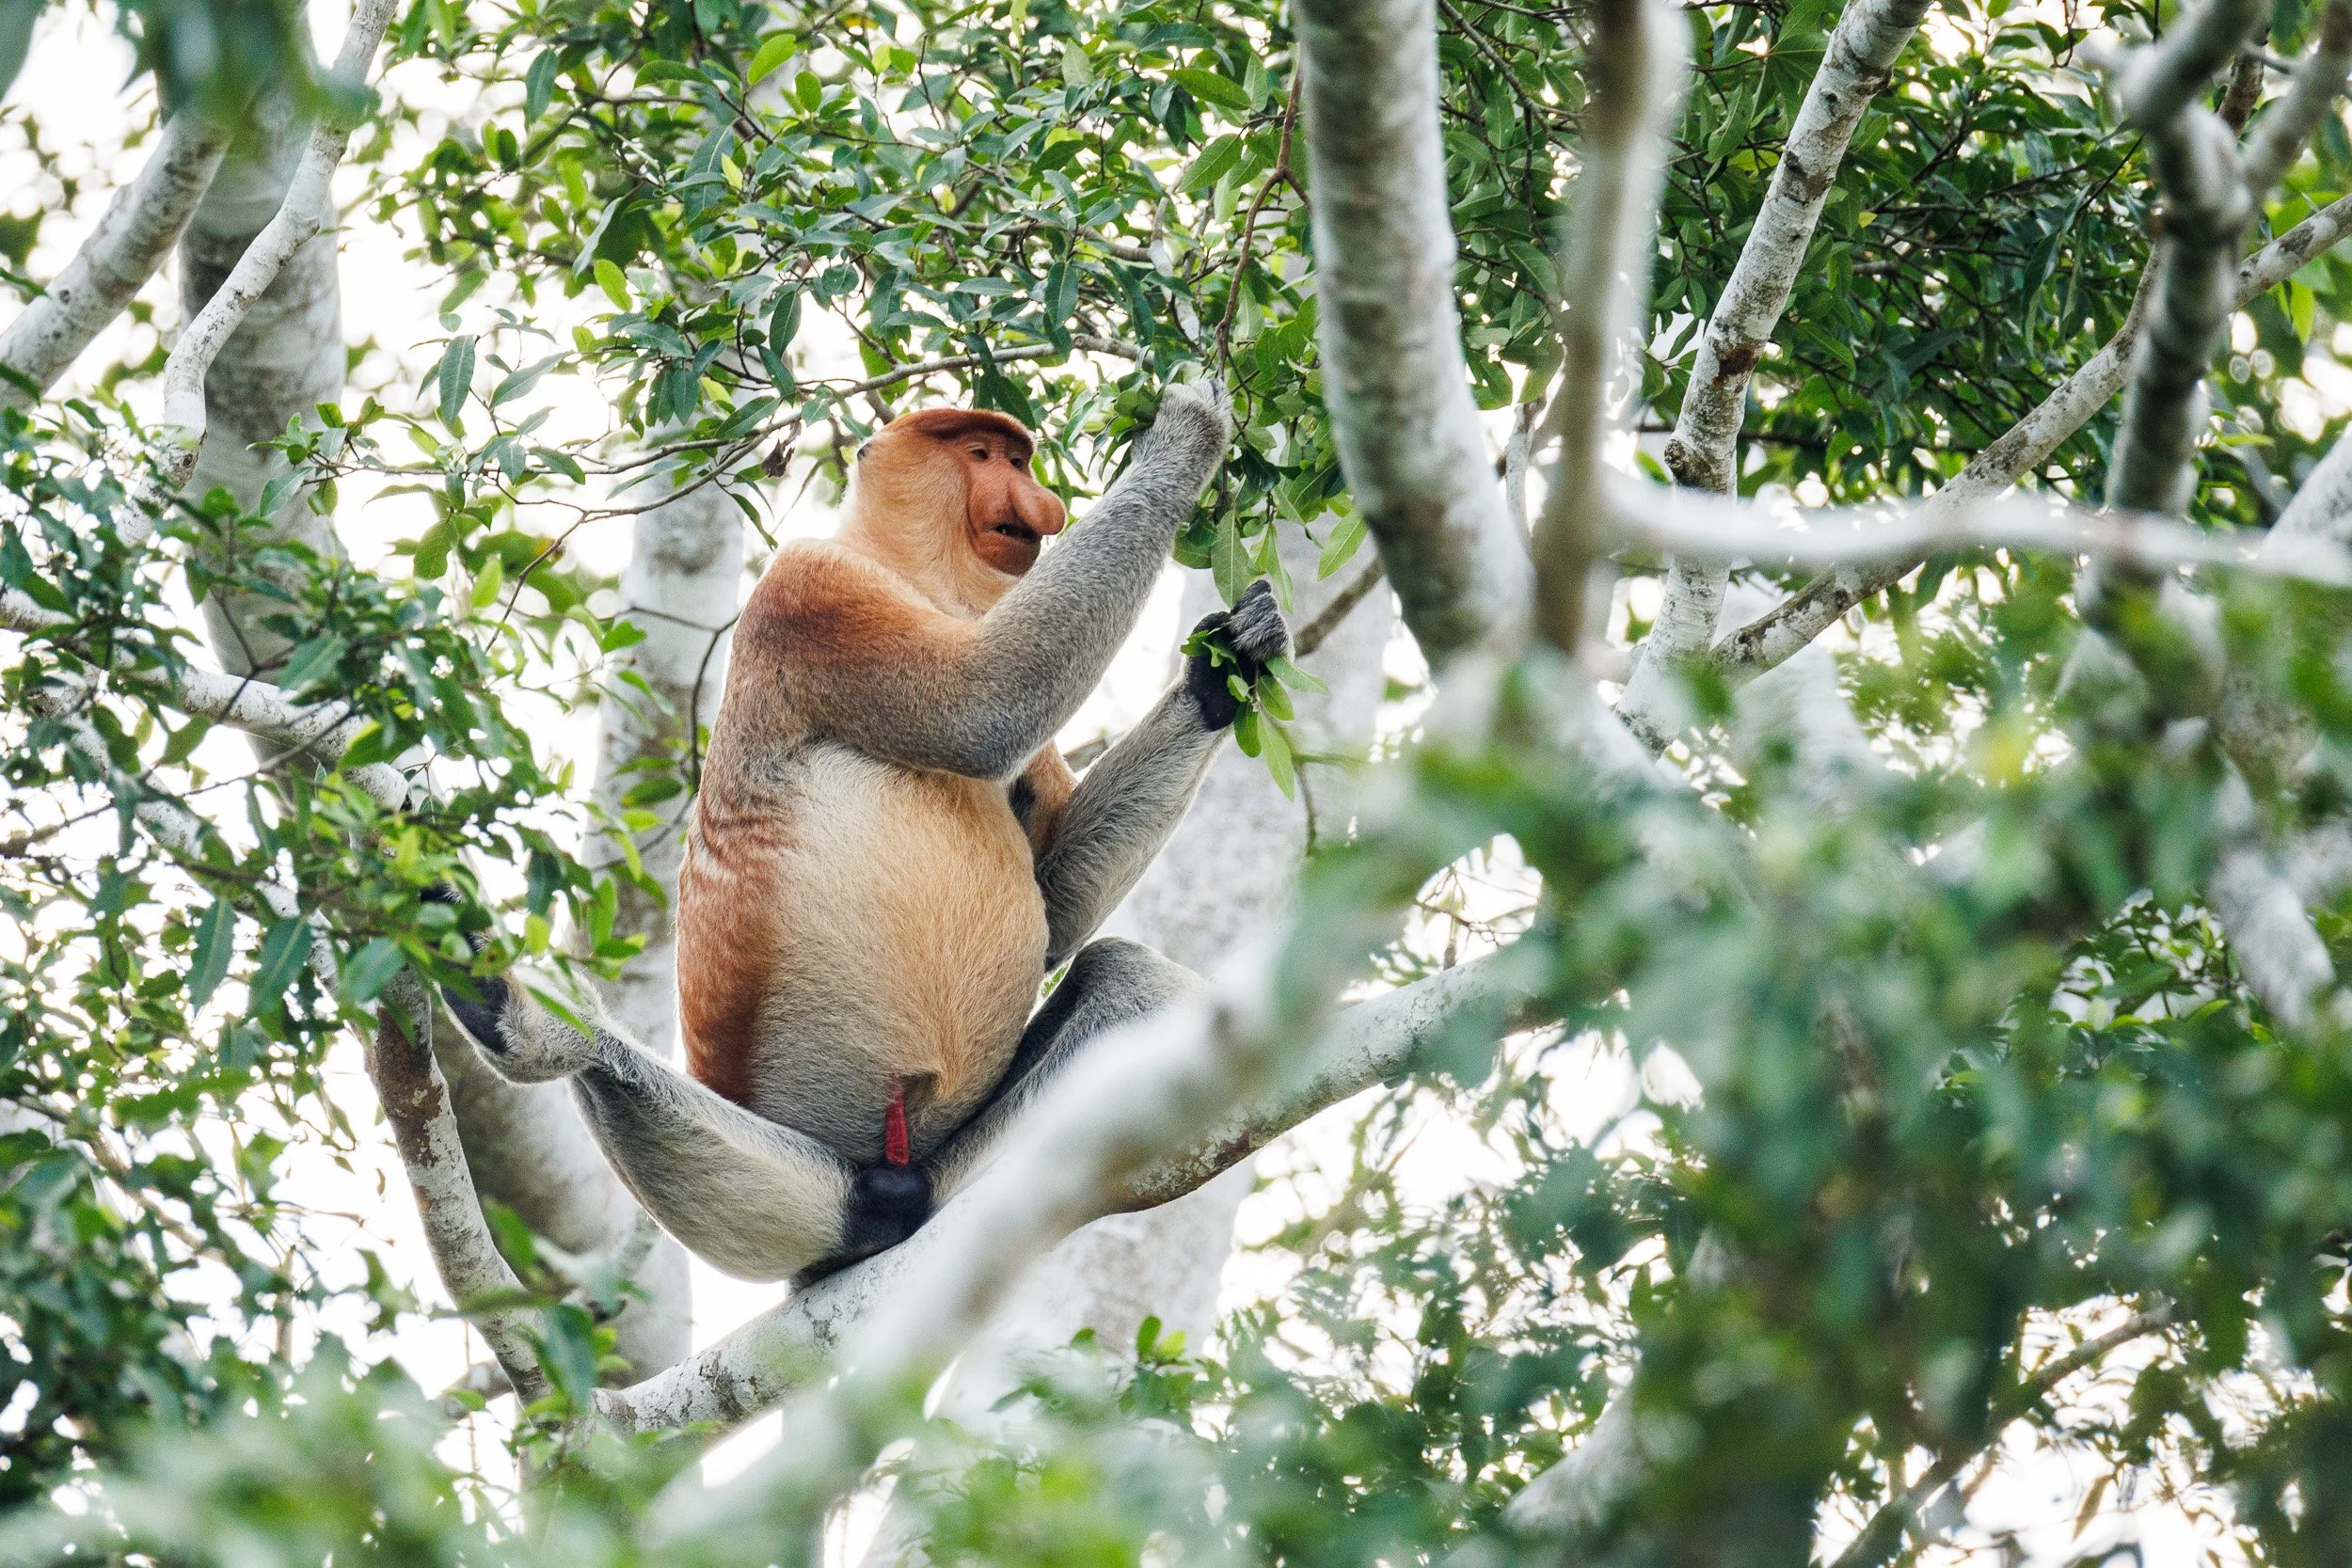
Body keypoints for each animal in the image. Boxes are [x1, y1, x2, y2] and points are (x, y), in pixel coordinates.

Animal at [436, 381, 1293, 1282]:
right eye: (981, 454)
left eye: (1017, 459)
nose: (1042, 503)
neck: (908, 570)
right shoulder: (815, 590)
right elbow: (985, 700)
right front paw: (1187, 433)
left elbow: (1055, 912)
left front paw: (1230, 660)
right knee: (608, 1068)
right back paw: (521, 1021)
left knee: (1131, 984)